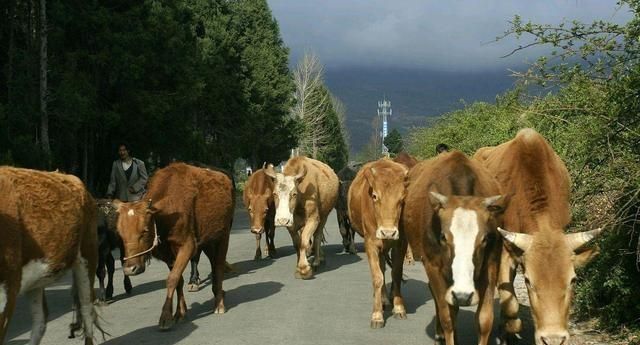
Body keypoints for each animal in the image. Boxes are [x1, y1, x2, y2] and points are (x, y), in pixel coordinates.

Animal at [112, 163, 232, 330]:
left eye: (144, 230)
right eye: (120, 233)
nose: (130, 269)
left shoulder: (187, 246)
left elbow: (172, 279)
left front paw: (165, 317)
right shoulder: (168, 254)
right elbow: (178, 280)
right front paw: (180, 313)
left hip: (223, 236)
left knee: (219, 265)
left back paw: (219, 303)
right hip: (208, 240)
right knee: (214, 265)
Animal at [348, 157, 408, 326]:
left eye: (402, 199)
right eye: (374, 196)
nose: (388, 232)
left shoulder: (401, 243)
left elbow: (396, 273)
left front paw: (399, 307)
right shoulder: (371, 244)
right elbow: (377, 277)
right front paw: (376, 314)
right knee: (381, 269)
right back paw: (382, 300)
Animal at [402, 150, 508, 344]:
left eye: (484, 238)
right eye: (443, 237)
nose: (463, 296)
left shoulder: (491, 264)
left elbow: (484, 320)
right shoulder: (432, 266)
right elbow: (447, 318)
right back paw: (439, 334)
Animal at [472, 128, 604, 344]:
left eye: (573, 280)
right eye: (528, 281)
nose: (553, 339)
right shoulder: (506, 250)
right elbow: (511, 308)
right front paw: (505, 331)